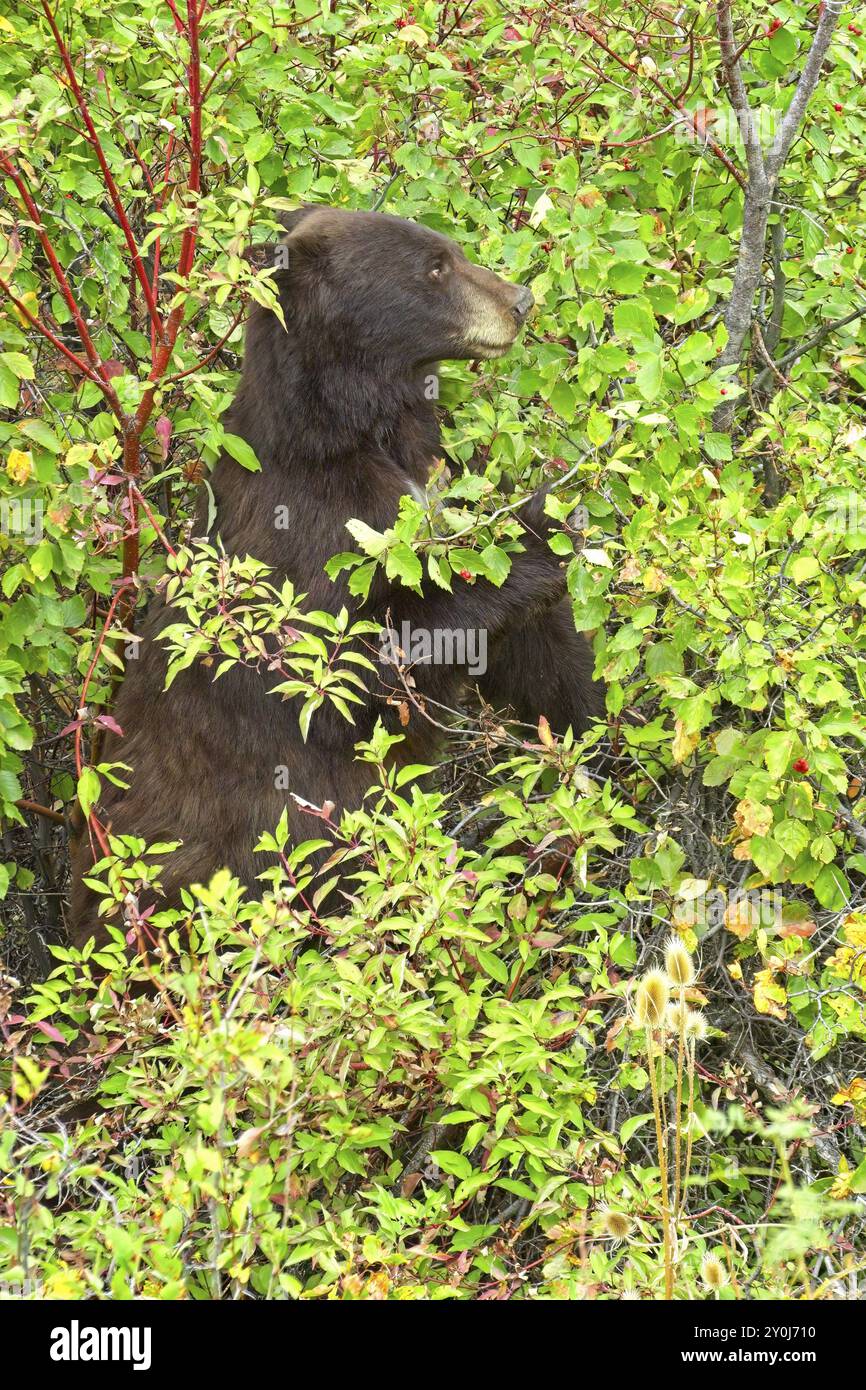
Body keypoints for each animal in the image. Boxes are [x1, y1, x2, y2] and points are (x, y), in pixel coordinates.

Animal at [69, 205, 603, 945]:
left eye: (450, 251)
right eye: (434, 267)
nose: (520, 302)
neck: (350, 430)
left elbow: (528, 652)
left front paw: (588, 729)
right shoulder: (309, 546)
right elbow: (358, 660)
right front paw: (538, 537)